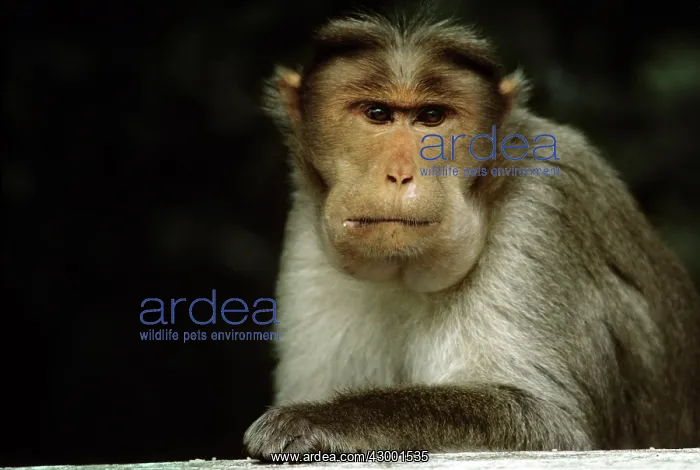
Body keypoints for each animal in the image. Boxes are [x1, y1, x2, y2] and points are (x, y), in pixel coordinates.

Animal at [242, 9, 700, 461]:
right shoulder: (306, 239)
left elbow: (549, 424)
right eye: (377, 114)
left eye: (431, 117)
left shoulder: (545, 203)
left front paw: (316, 420)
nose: (399, 175)